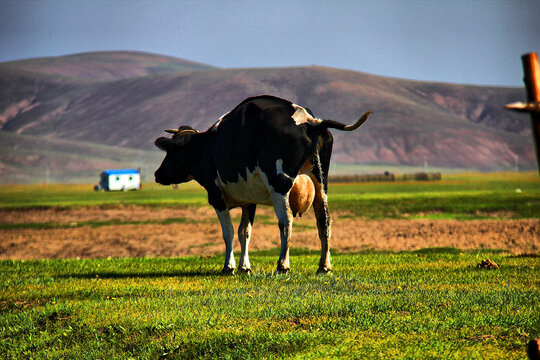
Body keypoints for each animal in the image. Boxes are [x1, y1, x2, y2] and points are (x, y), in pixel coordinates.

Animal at [154, 95, 370, 272]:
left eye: (171, 151)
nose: (157, 174)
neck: (206, 147)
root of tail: (309, 121)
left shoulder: (217, 198)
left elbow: (228, 232)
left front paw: (229, 266)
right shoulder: (249, 201)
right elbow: (244, 232)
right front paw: (245, 267)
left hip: (279, 185)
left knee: (286, 221)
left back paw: (283, 265)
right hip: (321, 181)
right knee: (324, 219)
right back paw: (324, 266)